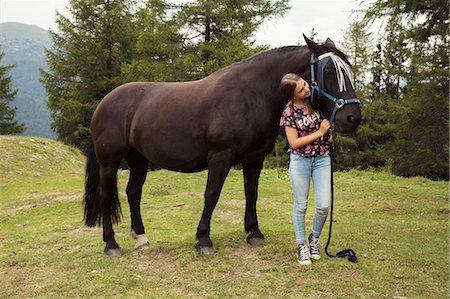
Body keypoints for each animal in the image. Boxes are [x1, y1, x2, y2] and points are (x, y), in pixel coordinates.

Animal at [81, 34, 362, 255]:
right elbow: (212, 194)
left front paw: (254, 233)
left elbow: (251, 193)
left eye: (349, 72)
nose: (352, 118)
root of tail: (104, 103)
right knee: (106, 196)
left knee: (133, 193)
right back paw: (111, 245)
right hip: (109, 161)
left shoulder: (254, 158)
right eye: (329, 72)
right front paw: (203, 239)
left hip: (138, 159)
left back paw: (141, 239)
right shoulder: (221, 157)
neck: (251, 95)